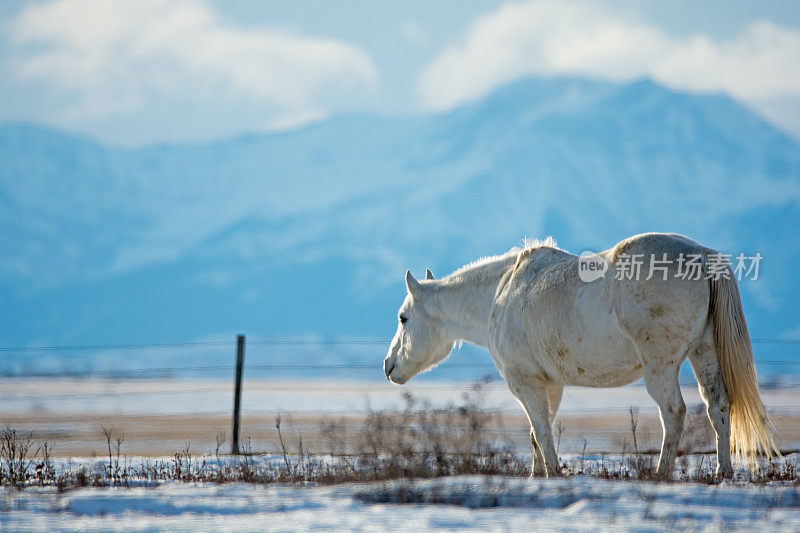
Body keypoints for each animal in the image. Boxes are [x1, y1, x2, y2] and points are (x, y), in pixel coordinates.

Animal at [384, 233, 780, 478]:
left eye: (403, 318)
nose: (389, 367)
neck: (500, 293)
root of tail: (703, 256)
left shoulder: (524, 383)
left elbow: (541, 432)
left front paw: (552, 474)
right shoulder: (550, 385)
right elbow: (536, 433)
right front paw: (537, 476)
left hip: (661, 368)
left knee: (674, 413)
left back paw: (661, 474)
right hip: (704, 353)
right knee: (718, 407)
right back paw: (722, 472)